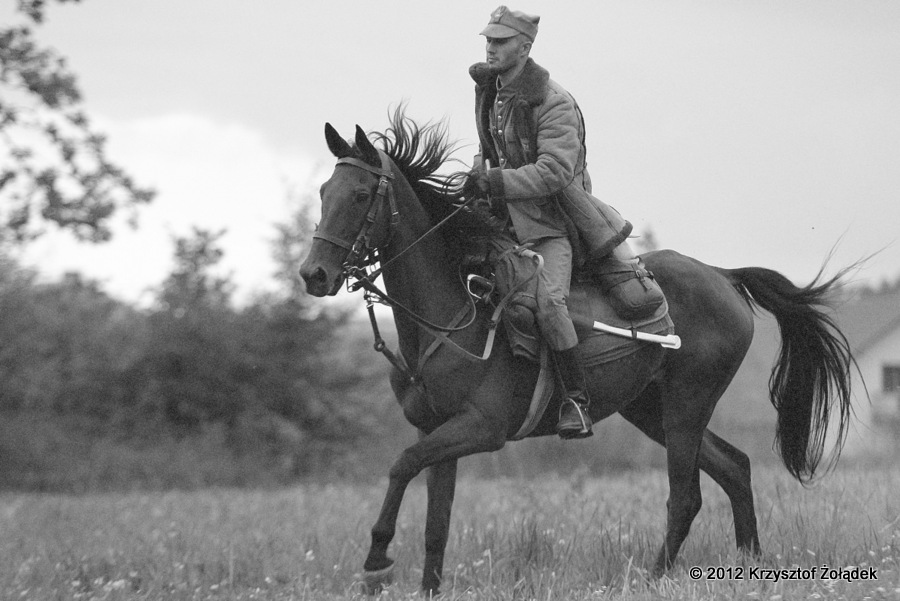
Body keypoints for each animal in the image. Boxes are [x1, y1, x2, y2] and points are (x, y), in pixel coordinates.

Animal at [298, 109, 854, 596]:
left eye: (361, 194)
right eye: (324, 193)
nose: (313, 274)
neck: (454, 316)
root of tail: (723, 275)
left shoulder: (480, 429)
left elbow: (401, 465)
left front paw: (376, 562)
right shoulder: (436, 430)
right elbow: (437, 520)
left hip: (686, 406)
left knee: (686, 496)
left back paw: (651, 578)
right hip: (649, 409)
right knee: (734, 467)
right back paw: (749, 566)